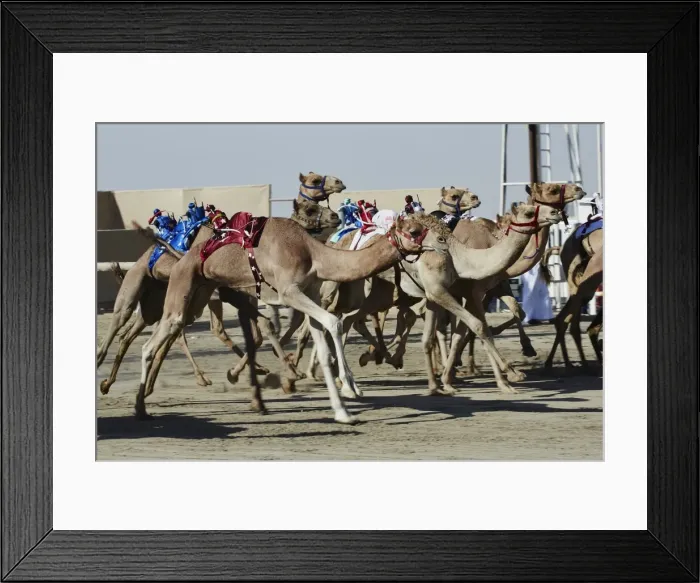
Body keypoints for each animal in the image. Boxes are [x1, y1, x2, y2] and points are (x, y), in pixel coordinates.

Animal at [132, 211, 445, 424]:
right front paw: (350, 387)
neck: (313, 253)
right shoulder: (288, 291)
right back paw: (140, 408)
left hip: (202, 291)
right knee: (152, 341)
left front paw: (343, 411)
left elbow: (323, 338)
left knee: (171, 330)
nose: (443, 243)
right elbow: (334, 322)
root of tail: (181, 256)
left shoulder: (311, 293)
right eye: (415, 230)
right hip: (183, 282)